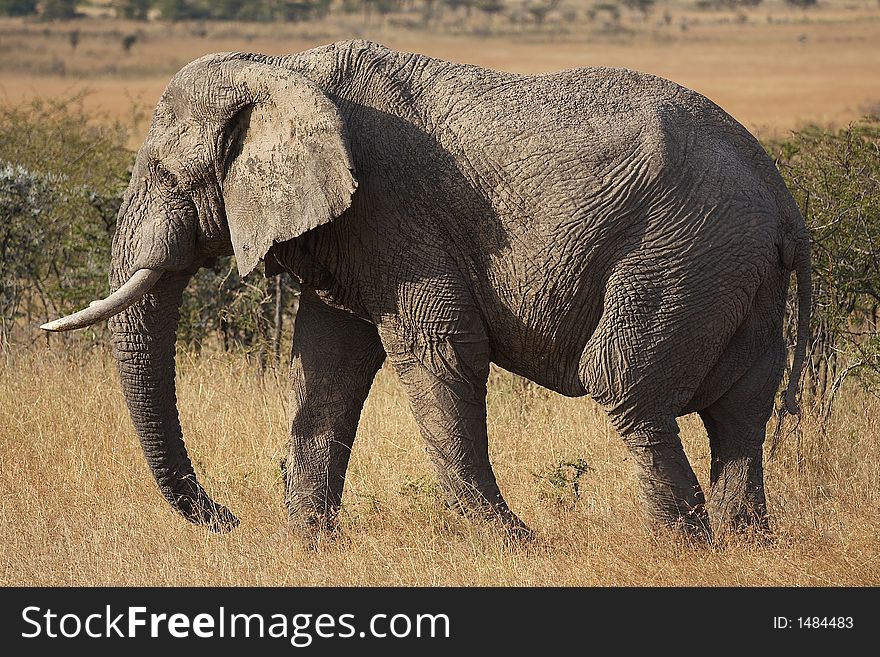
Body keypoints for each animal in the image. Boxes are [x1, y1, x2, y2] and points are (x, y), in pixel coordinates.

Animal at [43, 39, 812, 544]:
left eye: (167, 173)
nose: (230, 520)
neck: (284, 69)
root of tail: (783, 203)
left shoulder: (394, 209)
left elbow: (435, 350)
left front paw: (512, 546)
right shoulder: (354, 227)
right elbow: (330, 363)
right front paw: (310, 546)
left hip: (683, 252)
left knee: (626, 385)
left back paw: (682, 545)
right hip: (734, 271)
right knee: (742, 405)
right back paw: (745, 544)